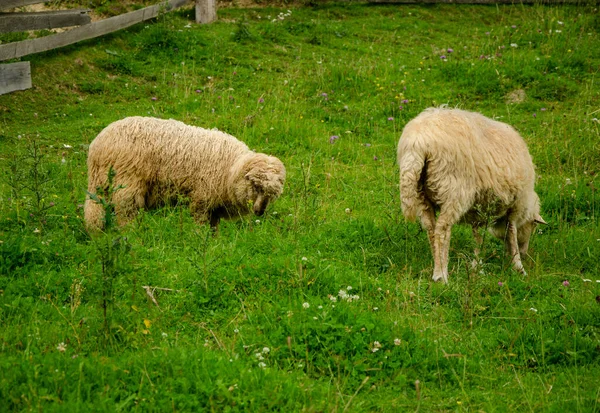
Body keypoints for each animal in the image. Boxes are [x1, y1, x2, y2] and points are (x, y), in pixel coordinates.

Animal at [85, 116, 288, 232]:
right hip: (127, 182)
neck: (230, 169)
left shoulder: (215, 207)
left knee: (93, 210)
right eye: (256, 186)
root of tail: (99, 144)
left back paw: (97, 234)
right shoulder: (202, 199)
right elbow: (200, 226)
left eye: (272, 194)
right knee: (125, 213)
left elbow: (213, 230)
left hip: (100, 183)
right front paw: (200, 241)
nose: (260, 212)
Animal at [396, 108, 548, 284]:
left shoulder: (478, 211)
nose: (525, 253)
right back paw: (441, 275)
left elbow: (478, 238)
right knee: (442, 230)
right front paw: (519, 267)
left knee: (430, 229)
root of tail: (418, 144)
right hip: (453, 189)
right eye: (533, 226)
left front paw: (477, 265)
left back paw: (436, 267)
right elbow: (512, 234)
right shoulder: (515, 207)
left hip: (421, 193)